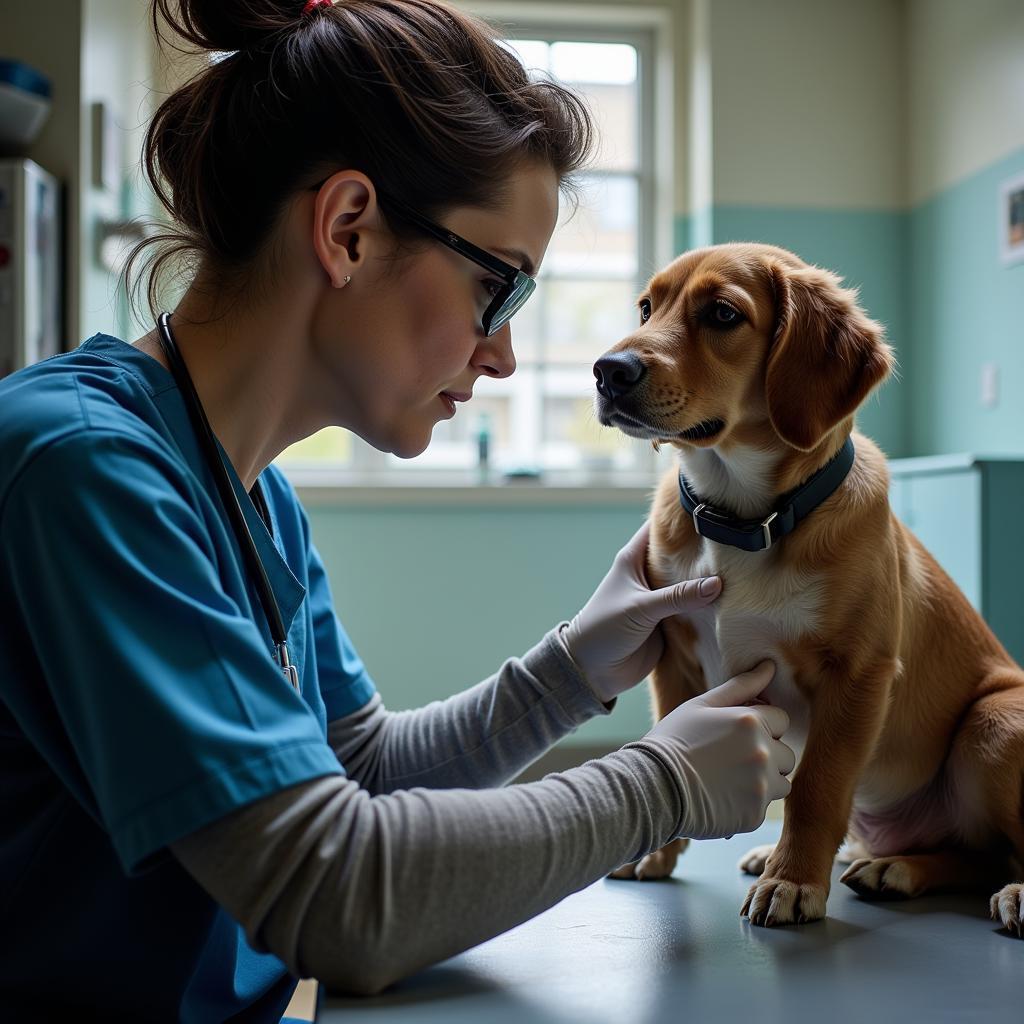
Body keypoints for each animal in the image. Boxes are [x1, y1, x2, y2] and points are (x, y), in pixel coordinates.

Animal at [598, 243, 1024, 933]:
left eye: (722, 314)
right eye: (645, 306)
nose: (607, 371)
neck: (744, 519)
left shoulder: (857, 673)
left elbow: (817, 788)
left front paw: (793, 881)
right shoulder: (673, 657)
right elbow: (672, 746)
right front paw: (661, 850)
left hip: (995, 723)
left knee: (999, 853)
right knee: (967, 853)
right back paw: (888, 866)